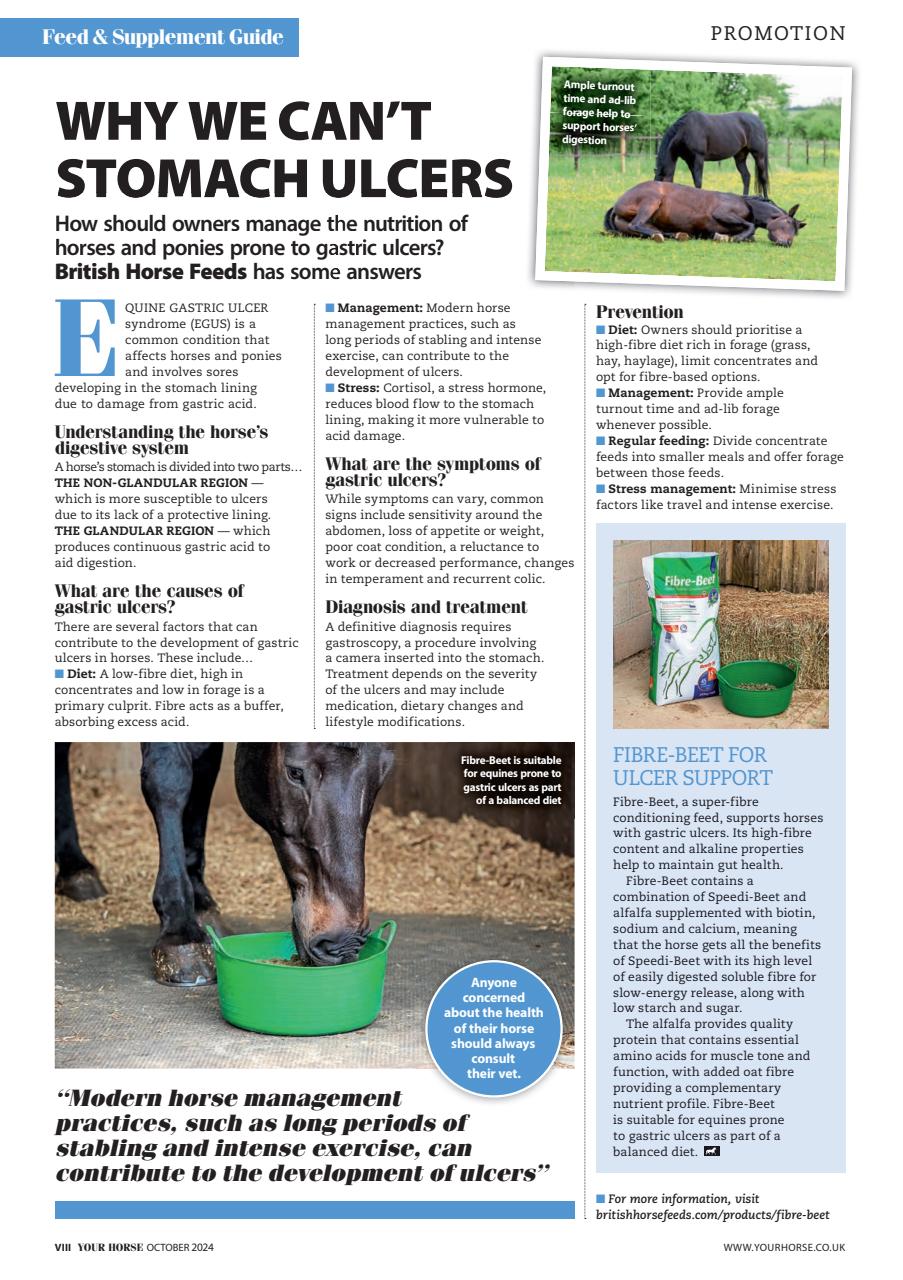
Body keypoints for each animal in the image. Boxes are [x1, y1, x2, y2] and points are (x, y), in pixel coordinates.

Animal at [55, 742, 394, 985]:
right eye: (294, 772)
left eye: (384, 772)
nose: (342, 943)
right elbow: (170, 779)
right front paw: (180, 930)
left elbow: (202, 774)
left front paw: (201, 903)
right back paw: (75, 867)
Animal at [603, 182, 805, 246]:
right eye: (788, 223)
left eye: (796, 231)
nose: (787, 243)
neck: (748, 204)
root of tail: (615, 206)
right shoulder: (722, 213)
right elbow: (751, 226)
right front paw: (732, 238)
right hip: (651, 201)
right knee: (637, 225)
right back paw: (659, 236)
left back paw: (677, 235)